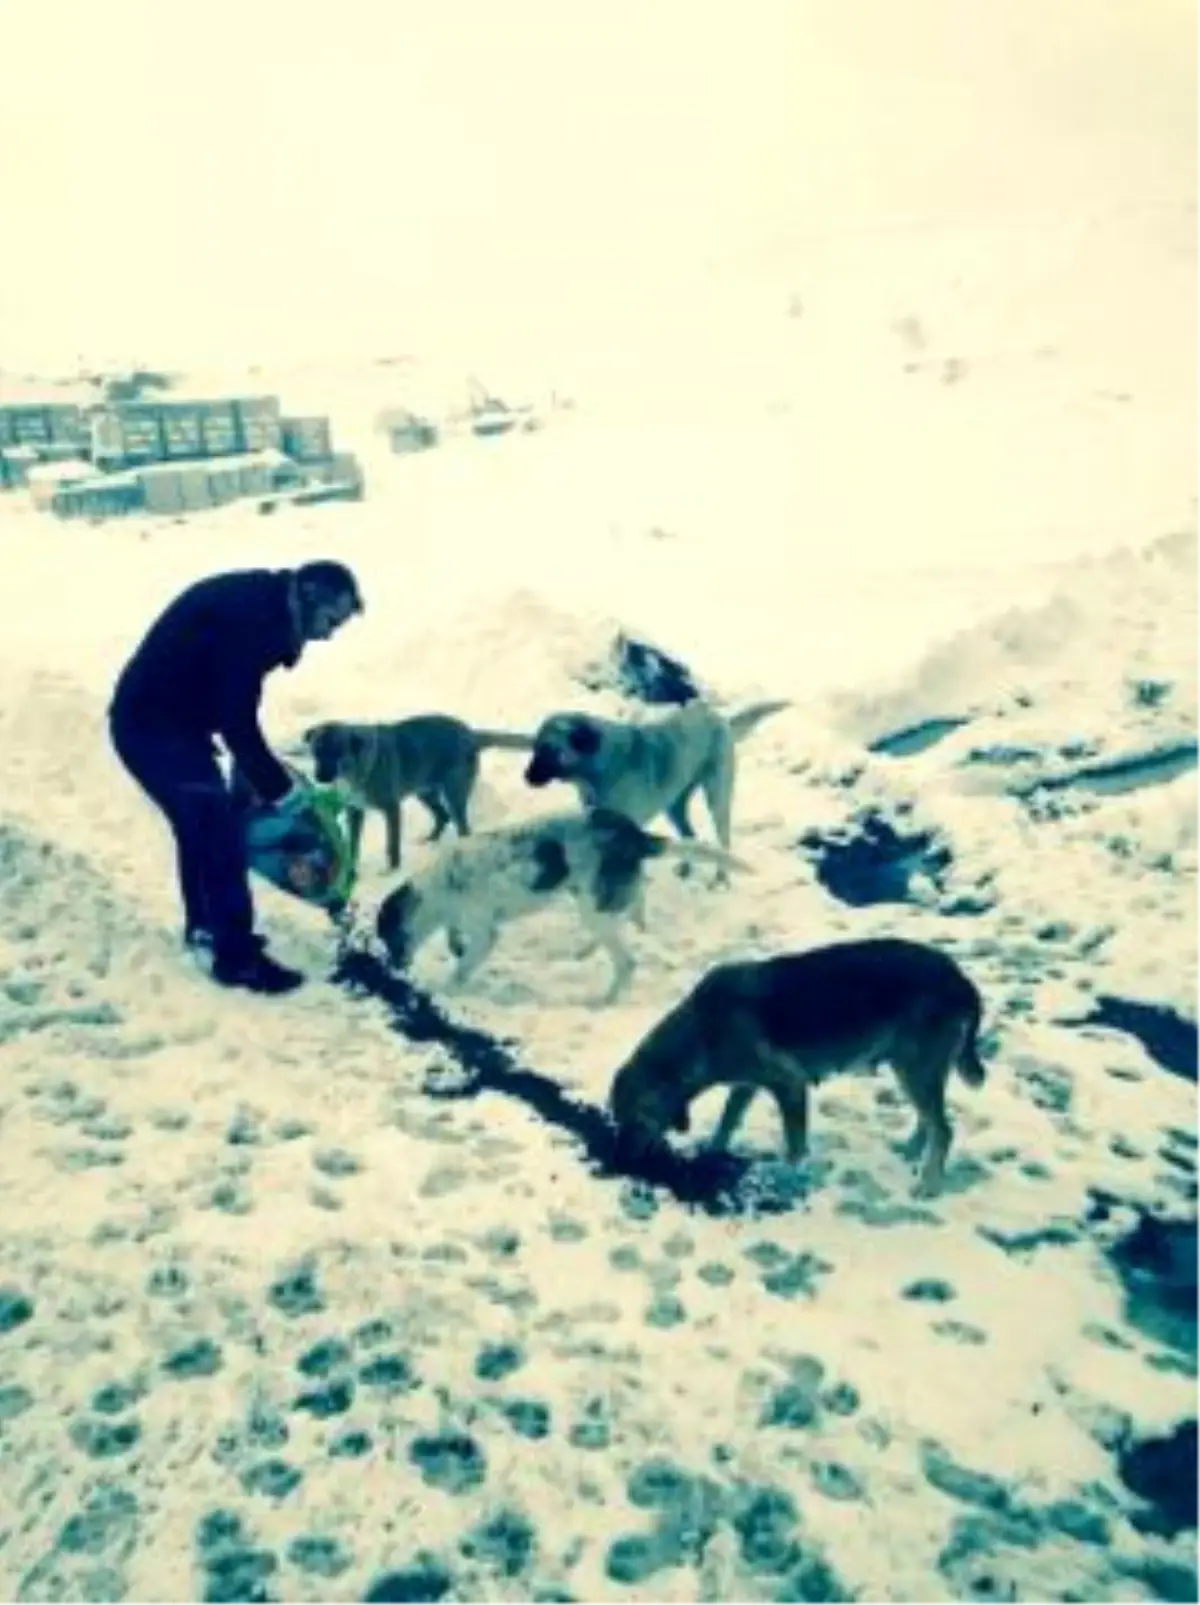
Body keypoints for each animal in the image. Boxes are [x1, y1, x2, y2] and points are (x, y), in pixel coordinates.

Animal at [301, 712, 532, 873]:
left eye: (336, 752)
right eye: (316, 752)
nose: (319, 777)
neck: (357, 768)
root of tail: (471, 733)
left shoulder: (391, 809)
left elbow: (392, 844)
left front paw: (392, 870)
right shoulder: (355, 811)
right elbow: (353, 845)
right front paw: (351, 869)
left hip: (453, 792)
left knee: (461, 824)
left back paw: (462, 846)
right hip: (425, 792)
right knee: (443, 816)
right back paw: (430, 840)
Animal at [375, 802, 750, 1001]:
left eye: (388, 937)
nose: (393, 969)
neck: (437, 890)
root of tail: (634, 834)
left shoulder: (484, 933)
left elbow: (462, 966)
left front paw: (445, 988)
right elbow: (455, 941)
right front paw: (453, 949)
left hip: (591, 906)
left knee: (627, 962)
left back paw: (604, 1000)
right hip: (591, 899)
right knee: (636, 899)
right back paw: (601, 943)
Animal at [522, 696, 786, 879]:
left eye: (549, 750)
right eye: (535, 747)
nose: (526, 777)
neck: (599, 767)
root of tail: (720, 718)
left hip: (717, 797)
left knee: (724, 839)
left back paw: (721, 878)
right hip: (674, 804)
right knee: (690, 835)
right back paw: (686, 869)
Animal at [609, 937, 994, 1200]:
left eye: (635, 1119)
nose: (621, 1162)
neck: (702, 1031)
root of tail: (961, 979)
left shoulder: (789, 1084)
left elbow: (795, 1147)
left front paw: (789, 1177)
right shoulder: (747, 1084)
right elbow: (727, 1121)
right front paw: (713, 1151)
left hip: (915, 1069)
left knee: (943, 1129)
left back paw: (928, 1183)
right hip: (911, 1068)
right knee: (929, 1119)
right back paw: (912, 1150)